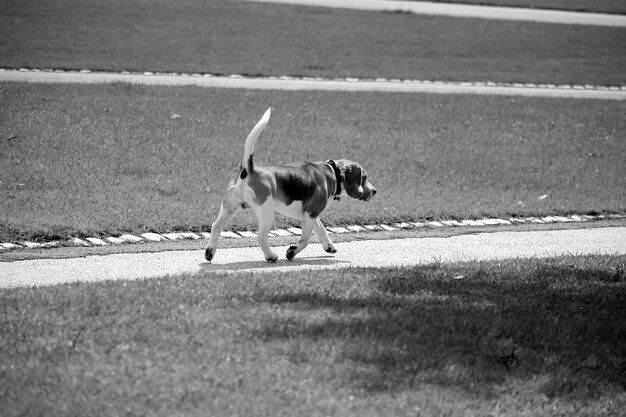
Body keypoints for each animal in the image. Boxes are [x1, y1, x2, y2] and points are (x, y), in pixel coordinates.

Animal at [204, 109, 376, 262]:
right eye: (364, 177)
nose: (374, 191)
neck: (331, 172)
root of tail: (248, 170)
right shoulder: (312, 213)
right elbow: (305, 239)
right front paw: (292, 252)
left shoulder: (311, 214)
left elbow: (321, 230)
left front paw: (329, 247)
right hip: (266, 213)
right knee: (260, 237)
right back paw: (271, 256)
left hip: (230, 207)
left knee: (215, 226)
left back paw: (209, 253)